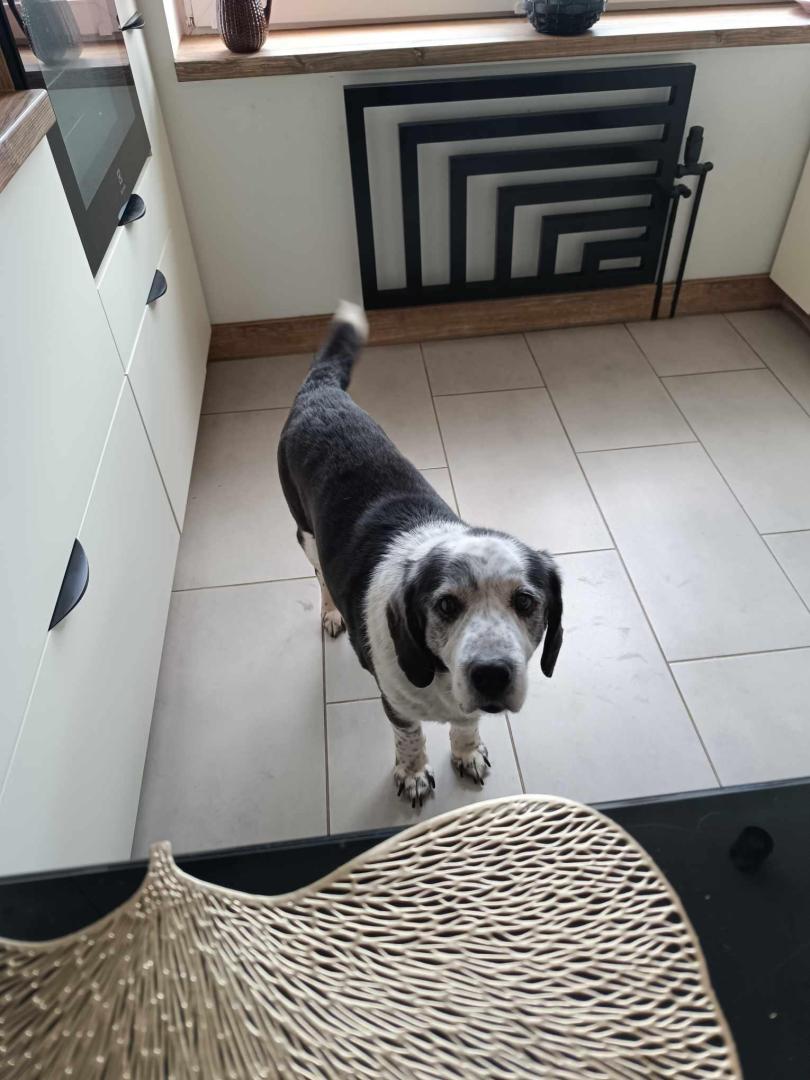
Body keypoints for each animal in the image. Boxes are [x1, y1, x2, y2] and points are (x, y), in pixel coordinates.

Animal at [278, 302, 563, 808]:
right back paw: (331, 613)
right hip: (305, 533)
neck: (441, 676)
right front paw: (412, 774)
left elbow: (466, 724)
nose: (492, 675)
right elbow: (409, 738)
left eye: (526, 602)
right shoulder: (396, 704)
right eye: (445, 605)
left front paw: (467, 753)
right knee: (319, 576)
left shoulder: (466, 706)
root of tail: (320, 389)